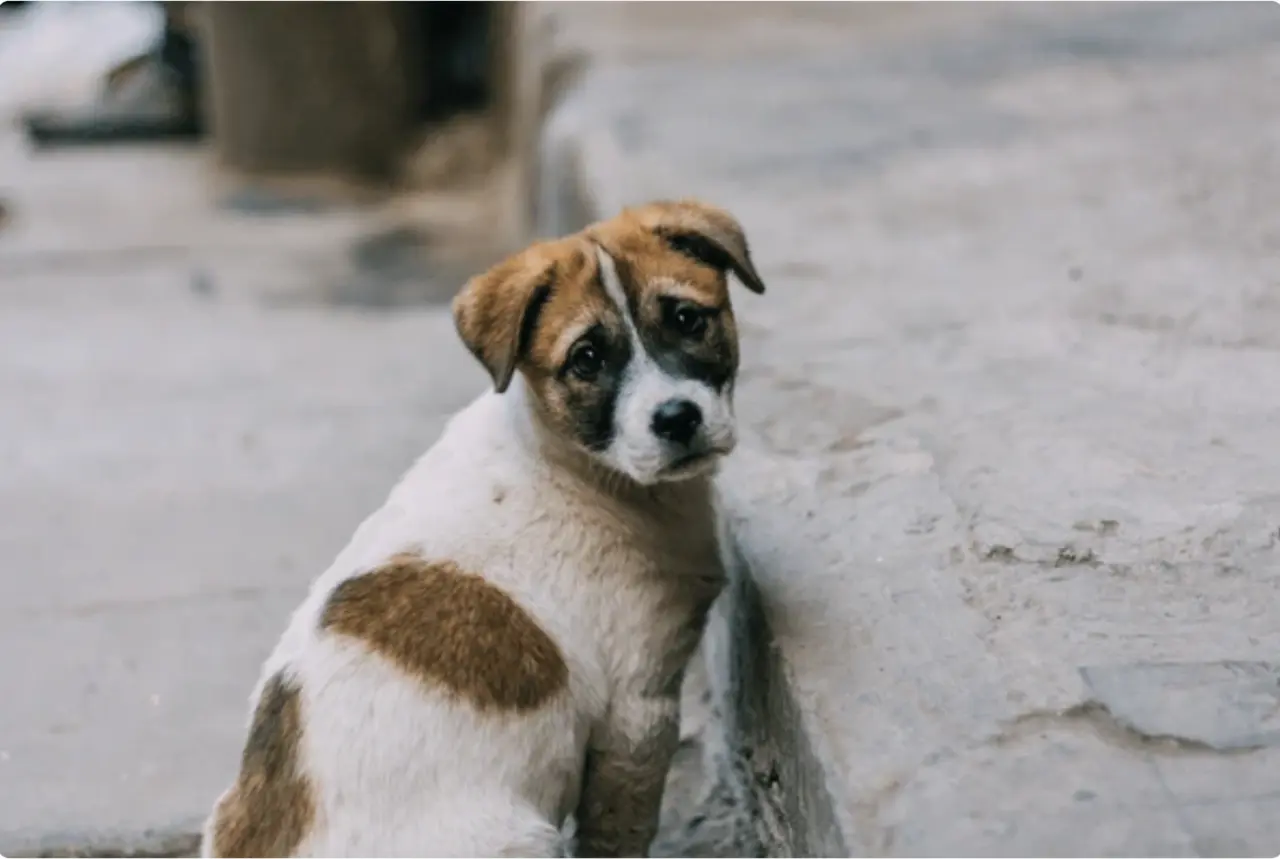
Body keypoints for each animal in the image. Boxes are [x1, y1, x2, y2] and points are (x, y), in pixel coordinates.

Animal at [195, 198, 762, 855]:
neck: (579, 468)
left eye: (688, 320)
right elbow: (618, 836)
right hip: (522, 835)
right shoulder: (637, 712)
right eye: (587, 359)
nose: (677, 418)